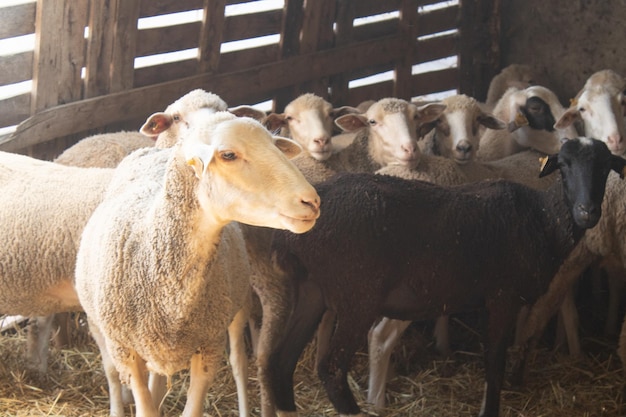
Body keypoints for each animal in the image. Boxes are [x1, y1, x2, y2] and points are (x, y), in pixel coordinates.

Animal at [73, 112, 320, 416]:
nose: (312, 201)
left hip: (235, 306)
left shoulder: (209, 348)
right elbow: (145, 405)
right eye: (228, 155)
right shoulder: (126, 353)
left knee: (238, 362)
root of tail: (156, 150)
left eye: (275, 145)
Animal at [266, 137, 620, 416]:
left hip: (312, 291)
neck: (542, 216)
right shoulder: (502, 297)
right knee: (332, 370)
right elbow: (495, 363)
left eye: (605, 167)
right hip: (357, 297)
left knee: (280, 362)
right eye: (564, 165)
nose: (588, 212)